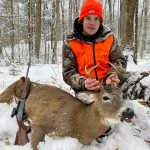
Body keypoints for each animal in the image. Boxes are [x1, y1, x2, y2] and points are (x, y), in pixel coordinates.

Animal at [0, 77, 134, 149]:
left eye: (123, 96)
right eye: (105, 97)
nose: (130, 112)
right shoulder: (40, 123)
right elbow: (35, 145)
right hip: (13, 90)